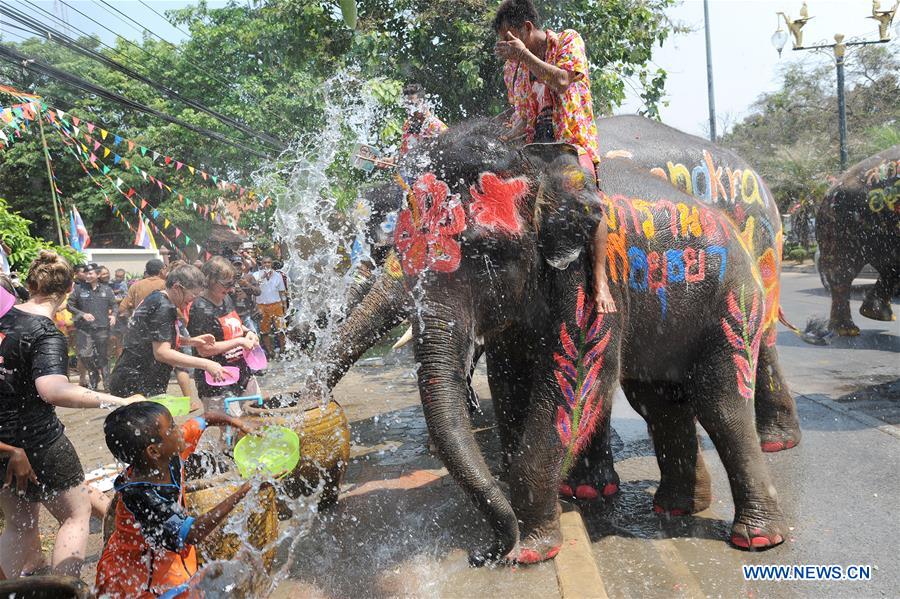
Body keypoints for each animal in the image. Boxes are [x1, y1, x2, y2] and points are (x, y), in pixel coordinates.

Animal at [352, 119, 788, 564]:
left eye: (489, 251)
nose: (483, 553)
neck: (535, 163)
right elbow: (509, 381)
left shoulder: (589, 279)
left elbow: (575, 384)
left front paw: (531, 551)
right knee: (659, 402)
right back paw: (676, 507)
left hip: (734, 299)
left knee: (722, 402)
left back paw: (757, 536)